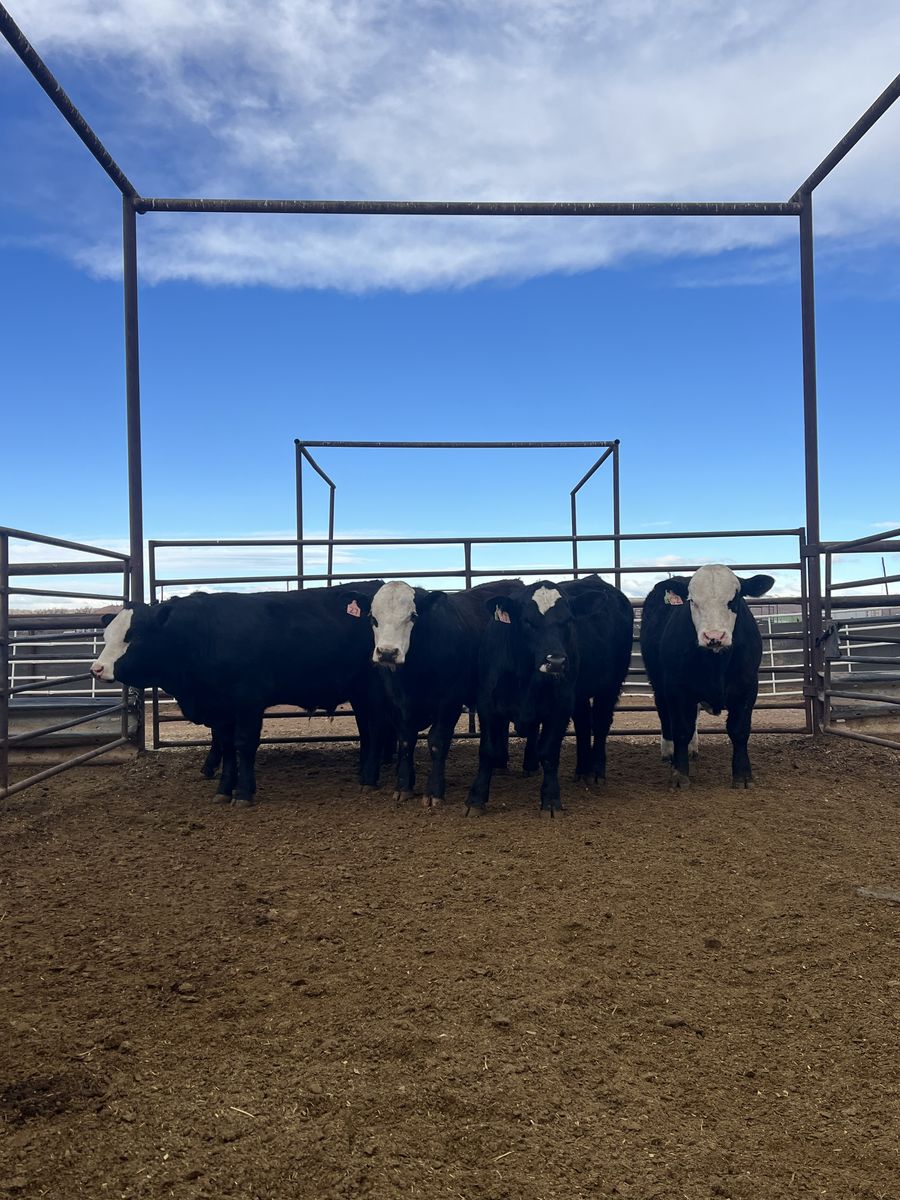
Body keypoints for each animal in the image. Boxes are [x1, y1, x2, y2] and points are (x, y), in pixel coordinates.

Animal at [91, 582, 386, 806]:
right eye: (106, 636)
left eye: (133, 636)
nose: (97, 669)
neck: (204, 635)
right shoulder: (221, 709)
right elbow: (226, 745)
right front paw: (224, 789)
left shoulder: (247, 702)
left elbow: (243, 744)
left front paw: (243, 792)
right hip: (359, 692)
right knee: (367, 730)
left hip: (371, 690)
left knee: (375, 729)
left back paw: (370, 778)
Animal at [344, 579, 521, 808]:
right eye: (373, 618)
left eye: (413, 616)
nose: (387, 653)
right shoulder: (398, 702)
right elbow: (406, 740)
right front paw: (404, 786)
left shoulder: (449, 702)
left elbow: (437, 742)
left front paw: (434, 791)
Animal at [466, 579, 590, 817]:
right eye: (528, 622)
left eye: (568, 620)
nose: (556, 661)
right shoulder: (486, 703)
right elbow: (486, 750)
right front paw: (476, 799)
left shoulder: (562, 706)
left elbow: (549, 752)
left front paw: (551, 800)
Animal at [557, 574, 634, 784]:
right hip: (582, 692)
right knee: (584, 722)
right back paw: (583, 769)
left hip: (611, 684)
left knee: (600, 720)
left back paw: (597, 770)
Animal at [639, 565, 775, 789]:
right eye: (692, 601)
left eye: (734, 600)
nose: (714, 636)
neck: (716, 663)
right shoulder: (676, 688)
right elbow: (681, 729)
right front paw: (679, 775)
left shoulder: (747, 686)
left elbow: (739, 730)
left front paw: (743, 775)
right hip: (658, 682)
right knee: (665, 714)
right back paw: (669, 751)